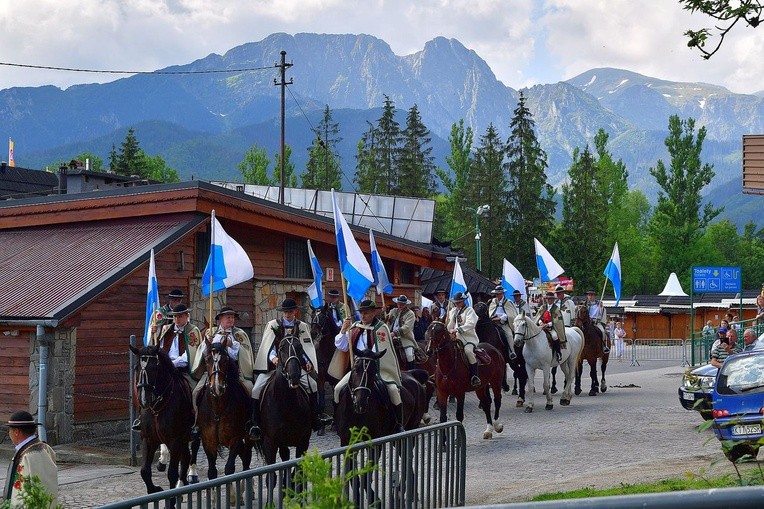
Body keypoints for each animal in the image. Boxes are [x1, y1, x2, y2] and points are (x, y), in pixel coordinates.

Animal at [130, 344, 192, 498]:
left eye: (153, 368)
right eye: (136, 368)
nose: (143, 400)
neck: (158, 407)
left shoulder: (175, 441)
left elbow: (172, 474)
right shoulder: (148, 439)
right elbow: (144, 471)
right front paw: (154, 489)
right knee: (186, 457)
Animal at [197, 338, 254, 480]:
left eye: (225, 360)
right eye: (207, 359)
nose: (217, 388)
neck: (218, 408)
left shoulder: (235, 440)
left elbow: (229, 469)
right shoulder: (208, 442)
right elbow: (212, 473)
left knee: (246, 458)